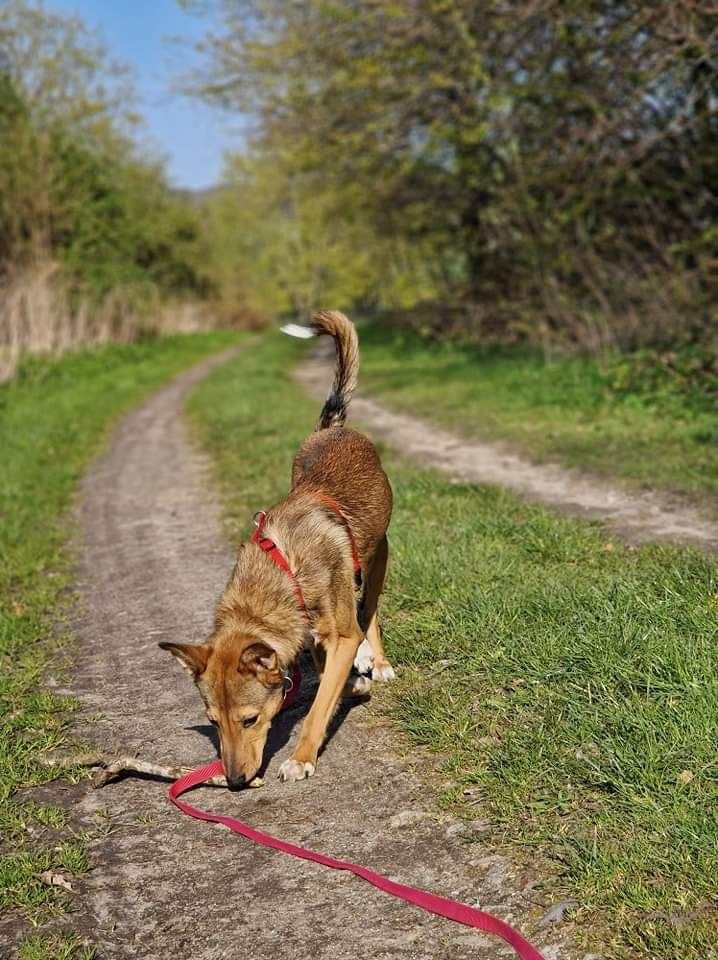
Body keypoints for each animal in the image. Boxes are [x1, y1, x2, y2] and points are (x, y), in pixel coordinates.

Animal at [159, 312, 394, 784]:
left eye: (249, 719)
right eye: (213, 723)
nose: (233, 782)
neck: (283, 573)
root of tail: (333, 429)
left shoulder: (340, 635)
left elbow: (318, 706)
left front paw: (302, 757)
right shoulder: (317, 638)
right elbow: (328, 678)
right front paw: (352, 685)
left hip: (378, 551)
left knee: (371, 607)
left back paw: (376, 659)